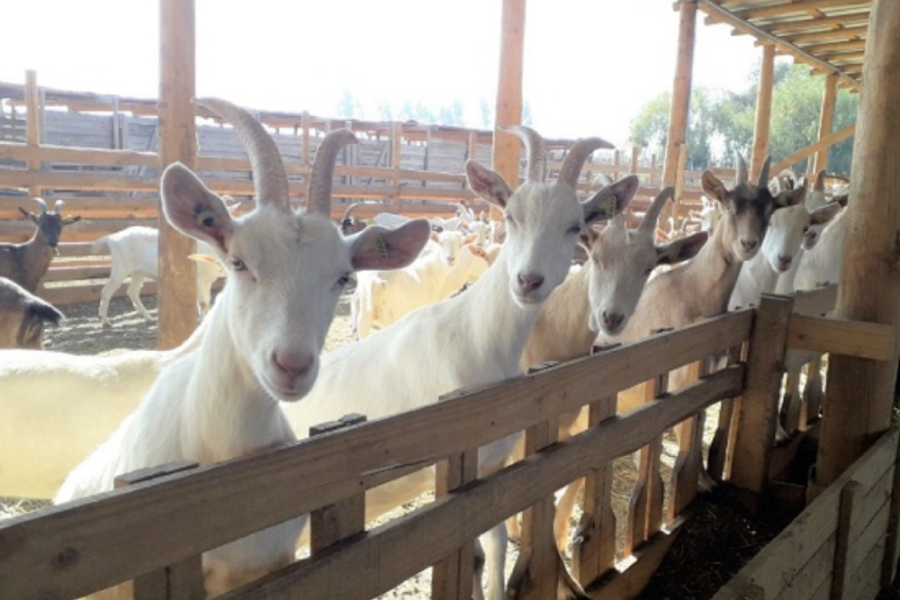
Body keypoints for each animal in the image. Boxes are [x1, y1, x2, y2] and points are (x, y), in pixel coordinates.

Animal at [93, 226, 226, 326]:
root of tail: (111, 238)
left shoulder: (207, 281)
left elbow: (207, 301)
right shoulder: (199, 279)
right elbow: (204, 302)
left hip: (139, 272)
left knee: (132, 291)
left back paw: (148, 317)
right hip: (121, 267)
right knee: (106, 291)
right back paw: (105, 321)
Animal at [284, 127, 626, 600]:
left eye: (575, 225)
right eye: (511, 215)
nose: (528, 280)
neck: (474, 335)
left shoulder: (489, 468)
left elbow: (494, 542)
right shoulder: (447, 475)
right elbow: (472, 555)